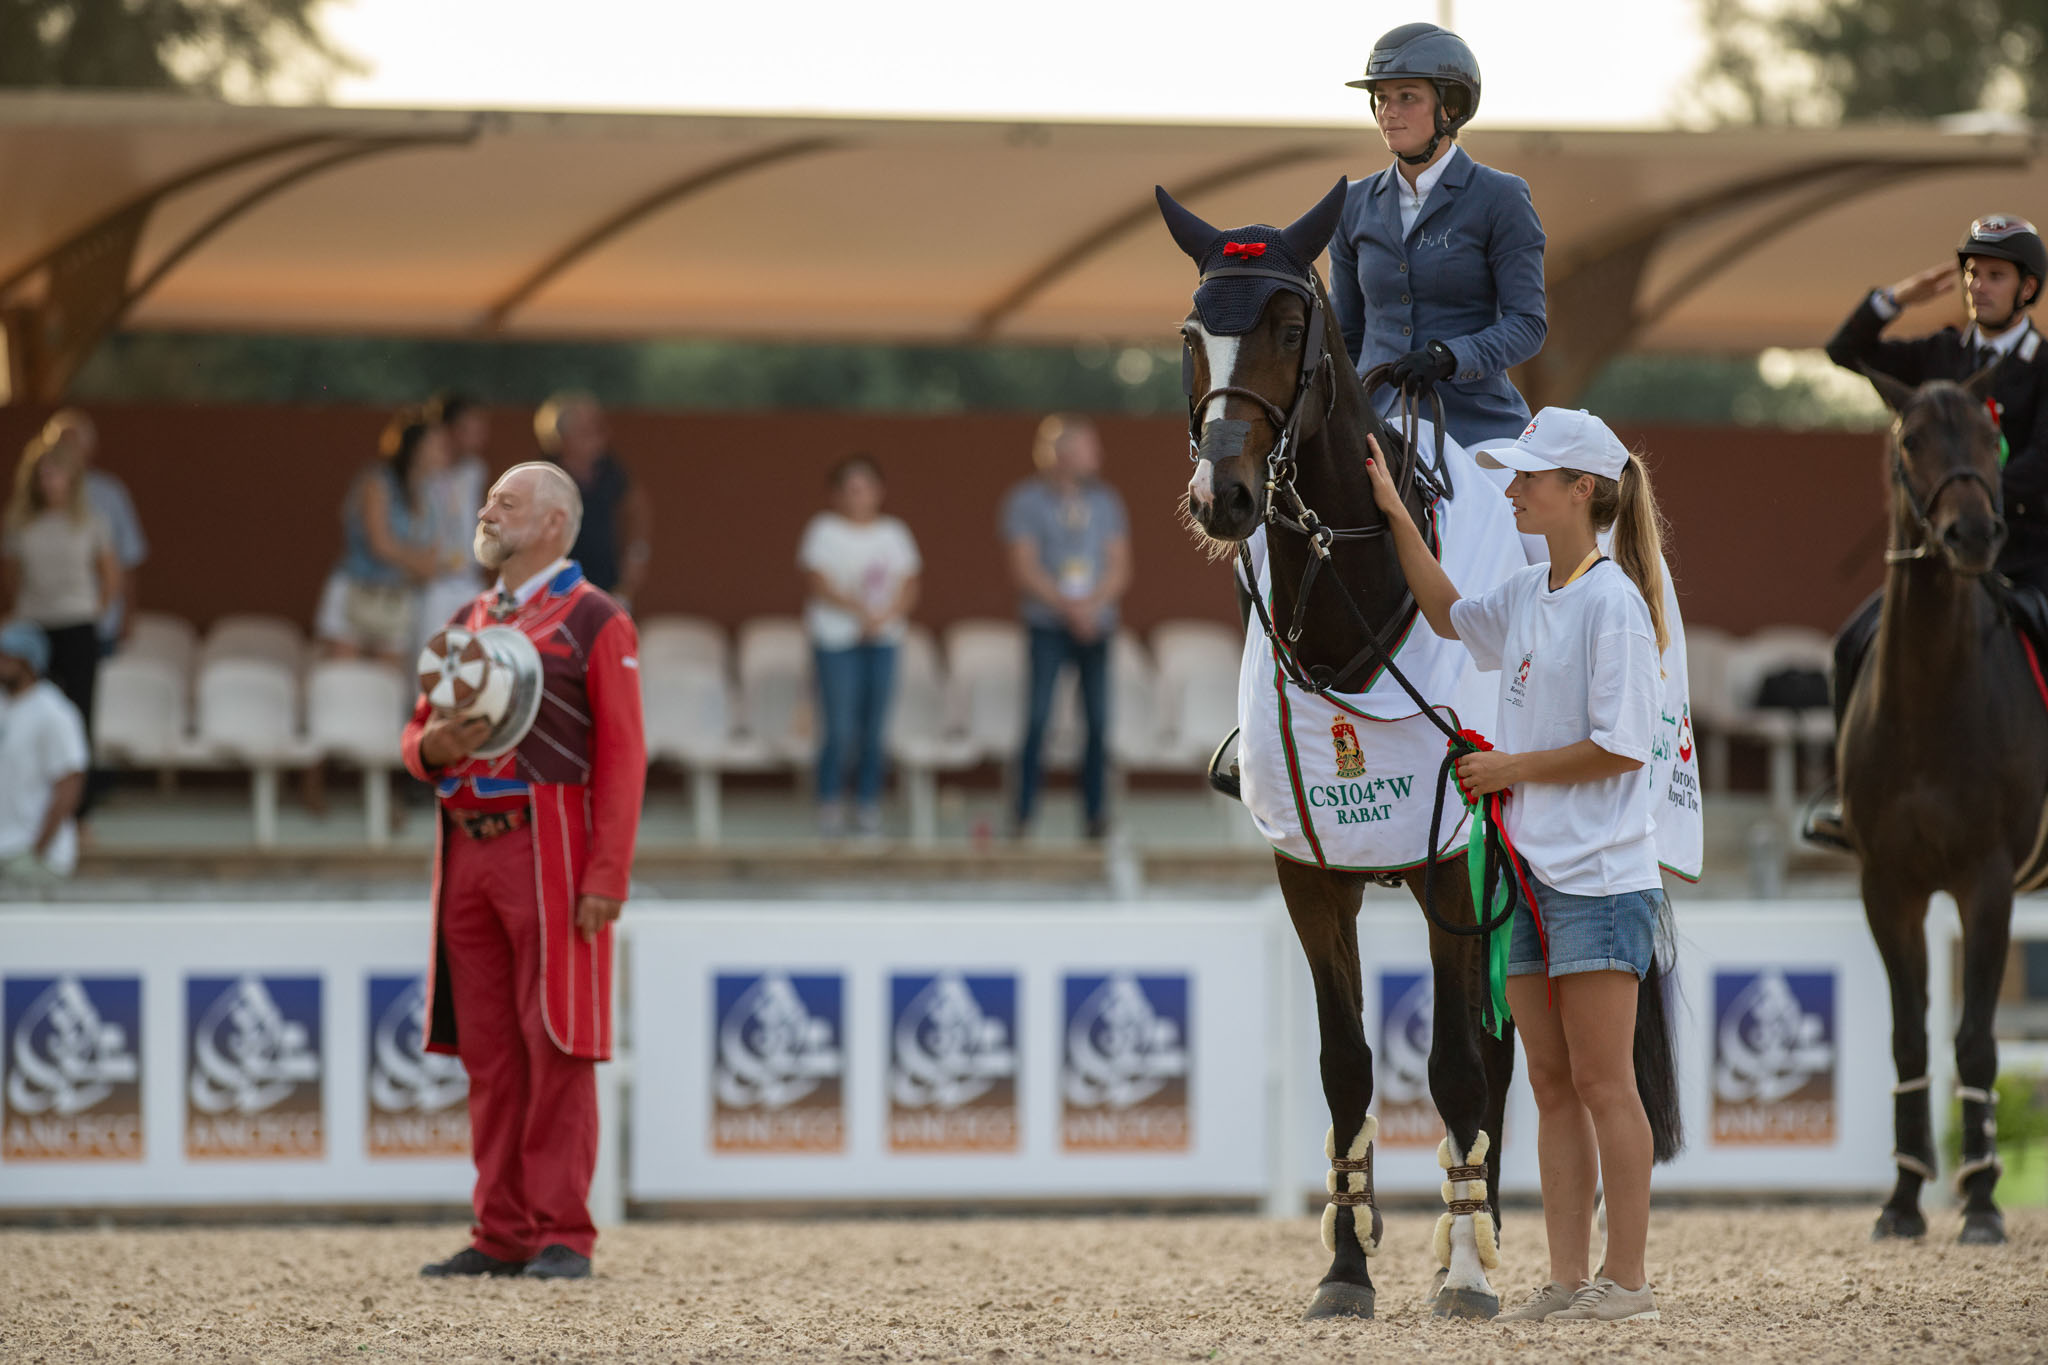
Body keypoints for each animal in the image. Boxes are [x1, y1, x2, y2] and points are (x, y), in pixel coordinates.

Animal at [1163, 181, 1687, 1326]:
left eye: (1287, 328)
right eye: (1189, 333)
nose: (1224, 497)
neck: (1351, 616)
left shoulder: (1454, 864)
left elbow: (1452, 1066)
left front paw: (1462, 1273)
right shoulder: (1311, 874)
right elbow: (1345, 1067)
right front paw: (1344, 1268)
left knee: (1499, 1057)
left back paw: (1483, 1236)